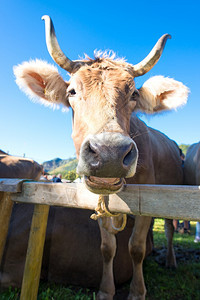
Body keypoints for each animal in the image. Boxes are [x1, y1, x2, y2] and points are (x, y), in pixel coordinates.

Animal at [12, 17, 189, 300]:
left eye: (134, 94)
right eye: (72, 91)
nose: (110, 153)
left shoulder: (150, 199)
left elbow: (136, 247)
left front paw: (137, 292)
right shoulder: (99, 200)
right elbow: (107, 247)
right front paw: (106, 290)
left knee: (170, 227)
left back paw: (170, 260)